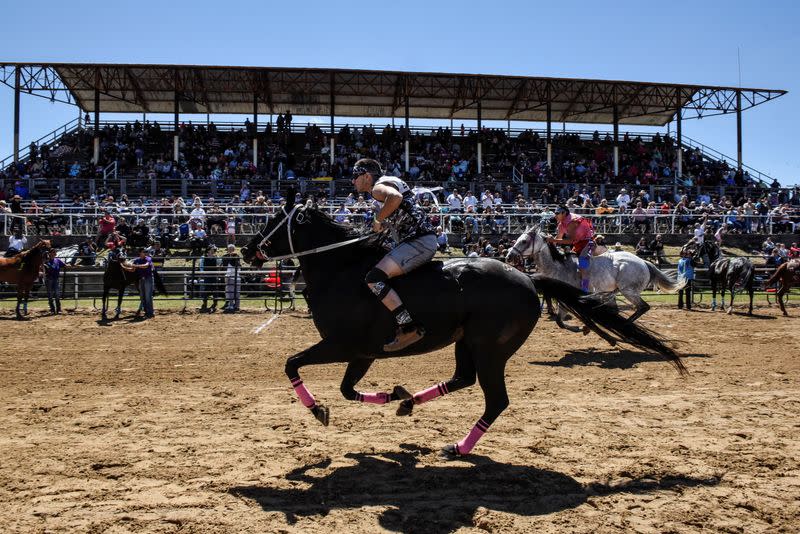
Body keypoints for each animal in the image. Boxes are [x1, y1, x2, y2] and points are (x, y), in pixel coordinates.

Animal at [510, 226, 684, 322]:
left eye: (524, 241)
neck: (558, 266)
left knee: (643, 307)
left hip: (629, 291)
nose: (509, 255)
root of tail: (644, 262)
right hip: (615, 291)